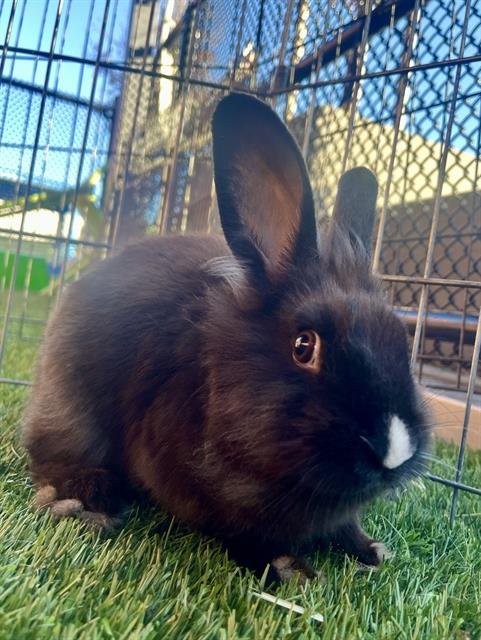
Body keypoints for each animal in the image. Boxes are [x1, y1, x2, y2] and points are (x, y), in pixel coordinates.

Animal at [23, 92, 429, 582]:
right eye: (304, 346)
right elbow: (244, 534)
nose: (394, 451)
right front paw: (290, 570)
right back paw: (82, 505)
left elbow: (346, 527)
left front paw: (371, 551)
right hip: (70, 415)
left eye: (402, 339)